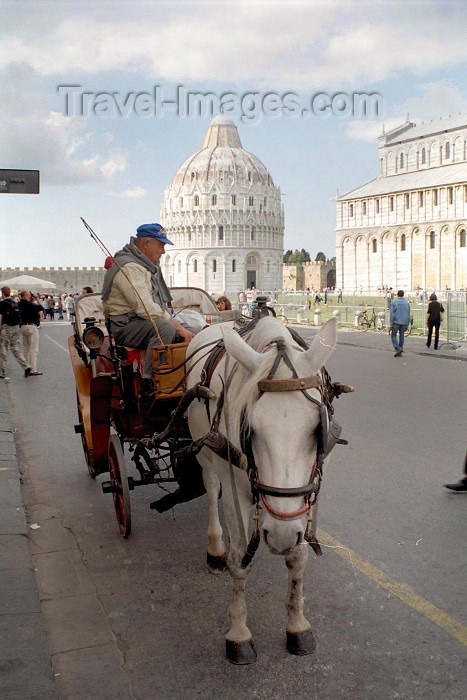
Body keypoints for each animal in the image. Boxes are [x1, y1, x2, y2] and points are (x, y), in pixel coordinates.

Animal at [185, 316, 338, 660]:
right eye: (249, 429)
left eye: (317, 428)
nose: (279, 535)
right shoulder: (233, 483)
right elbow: (239, 559)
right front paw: (238, 633)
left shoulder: (310, 490)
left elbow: (299, 555)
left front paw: (297, 625)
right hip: (204, 450)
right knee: (210, 487)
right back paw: (215, 548)